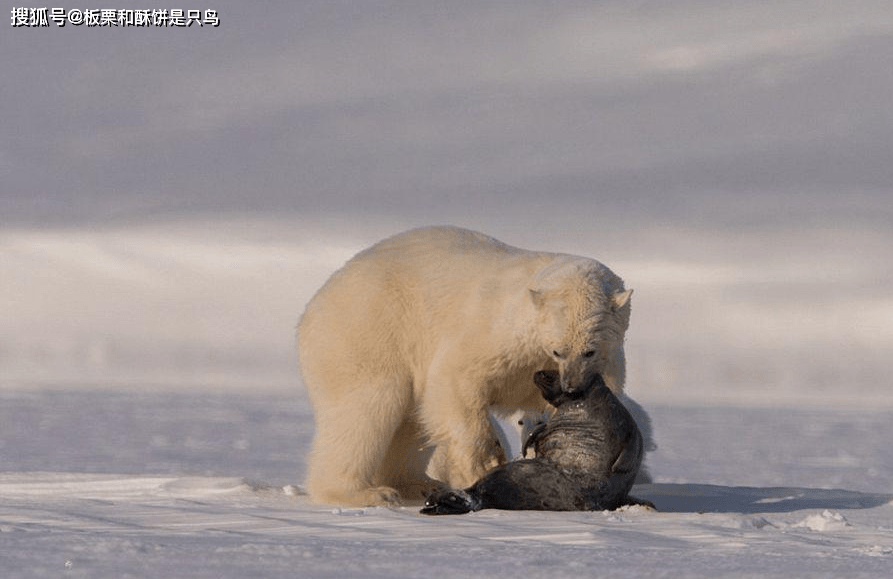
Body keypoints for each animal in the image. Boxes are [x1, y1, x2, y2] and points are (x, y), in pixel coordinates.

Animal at [296, 227, 632, 508]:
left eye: (589, 351)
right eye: (558, 350)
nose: (572, 386)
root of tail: (313, 306)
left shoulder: (605, 360)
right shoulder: (494, 331)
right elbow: (456, 381)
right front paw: (485, 463)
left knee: (409, 419)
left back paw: (417, 484)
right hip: (371, 328)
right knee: (369, 406)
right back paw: (363, 493)